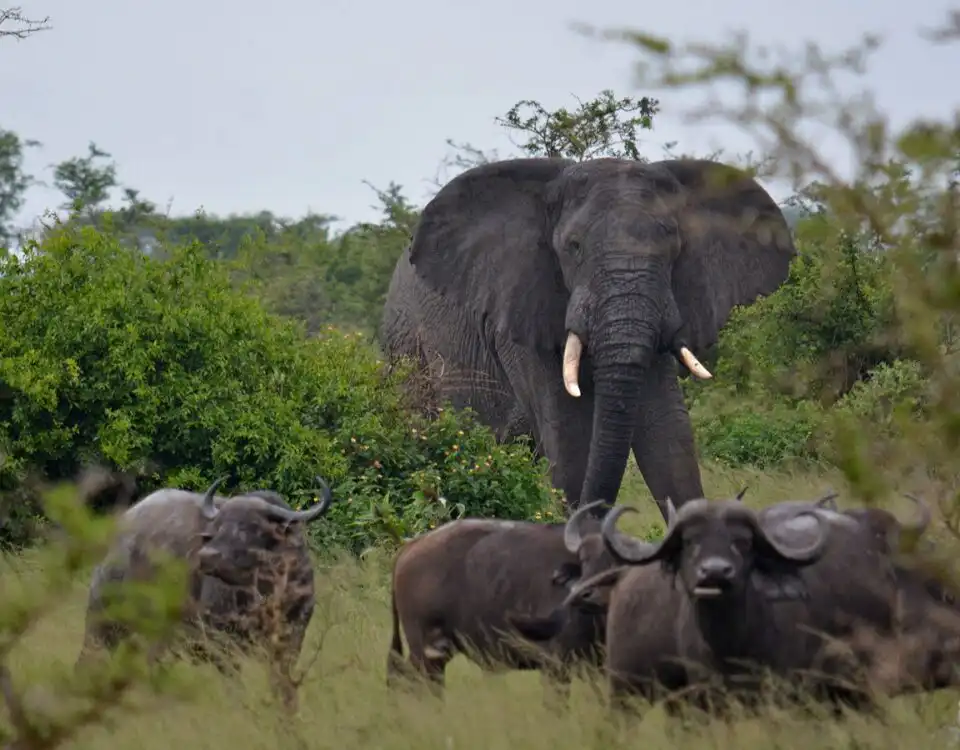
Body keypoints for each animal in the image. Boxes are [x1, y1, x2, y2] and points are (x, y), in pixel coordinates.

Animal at [77, 475, 333, 711]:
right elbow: (233, 682)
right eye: (218, 525)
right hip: (102, 621)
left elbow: (282, 682)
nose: (208, 555)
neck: (265, 593)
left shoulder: (292, 638)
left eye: (249, 527)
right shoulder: (222, 642)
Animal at [386, 501, 617, 701]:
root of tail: (410, 547)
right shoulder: (555, 667)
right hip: (426, 651)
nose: (587, 594)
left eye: (614, 563)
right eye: (585, 561)